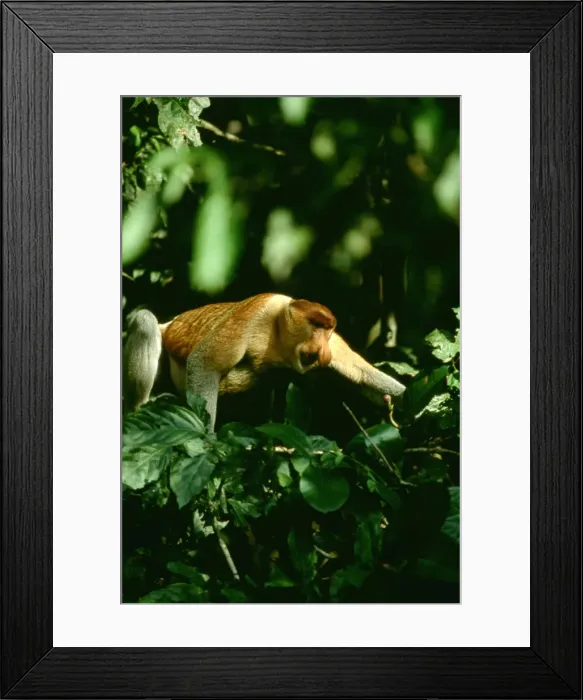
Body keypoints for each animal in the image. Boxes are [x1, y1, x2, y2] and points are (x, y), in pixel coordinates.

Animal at [123, 293, 406, 430]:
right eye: (315, 326)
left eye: (328, 330)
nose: (324, 353)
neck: (278, 332)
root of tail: (170, 324)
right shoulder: (253, 316)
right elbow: (204, 363)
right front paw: (207, 439)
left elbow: (359, 370)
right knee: (145, 321)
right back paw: (139, 407)